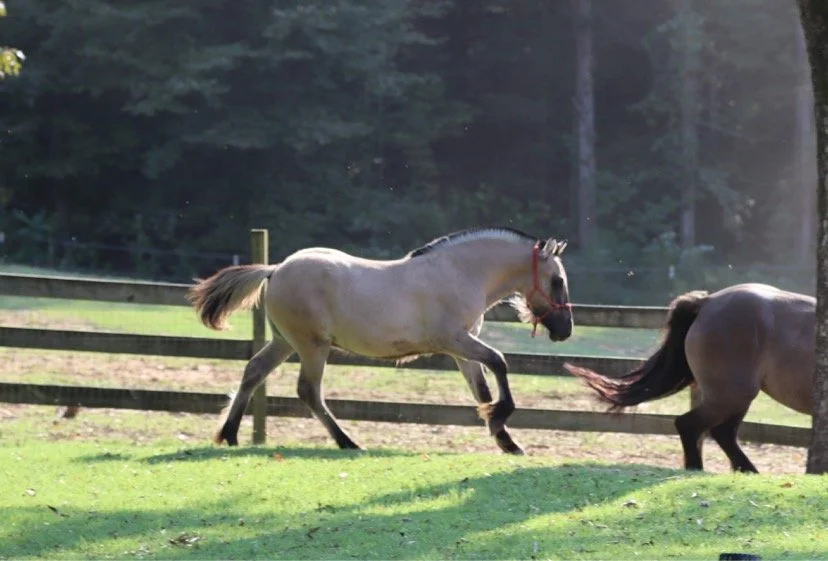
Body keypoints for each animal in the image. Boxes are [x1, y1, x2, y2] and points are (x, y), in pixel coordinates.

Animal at [188, 227, 573, 454]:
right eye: (557, 281)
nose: (565, 330)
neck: (459, 273)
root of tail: (275, 268)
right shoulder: (454, 341)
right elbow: (499, 363)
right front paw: (501, 422)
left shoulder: (464, 351)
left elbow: (482, 391)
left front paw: (506, 441)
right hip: (312, 346)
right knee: (309, 391)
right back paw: (348, 442)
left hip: (285, 342)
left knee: (253, 371)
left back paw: (230, 435)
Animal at [564, 283, 814, 473]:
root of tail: (707, 302)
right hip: (732, 395)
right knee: (690, 425)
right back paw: (698, 469)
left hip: (732, 398)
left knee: (721, 433)